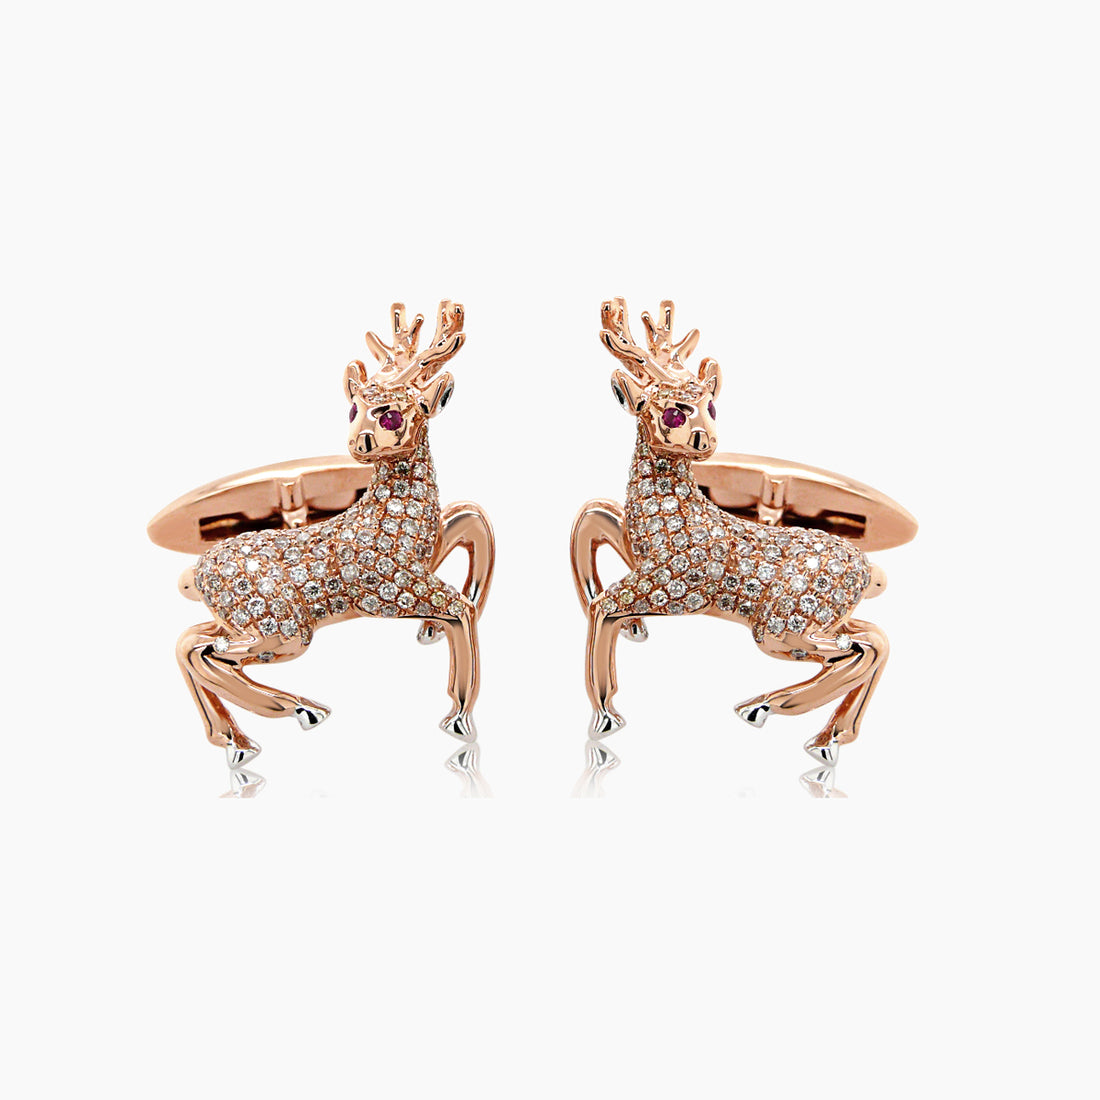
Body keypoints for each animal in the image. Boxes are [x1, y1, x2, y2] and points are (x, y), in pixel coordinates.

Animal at [176, 301, 494, 767]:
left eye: (393, 415)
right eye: (352, 410)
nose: (359, 444)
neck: (392, 519)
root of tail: (196, 573)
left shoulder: (425, 558)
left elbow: (474, 521)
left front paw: (431, 633)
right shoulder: (388, 593)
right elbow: (461, 612)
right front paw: (459, 719)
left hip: (239, 618)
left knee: (187, 644)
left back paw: (236, 741)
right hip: (283, 627)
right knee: (209, 655)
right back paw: (298, 710)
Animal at [571, 299, 890, 765]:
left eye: (712, 407)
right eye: (672, 412)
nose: (706, 441)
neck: (672, 516)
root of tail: (868, 571)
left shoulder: (677, 591)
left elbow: (603, 609)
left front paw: (605, 716)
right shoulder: (639, 555)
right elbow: (590, 519)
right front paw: (634, 630)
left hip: (781, 624)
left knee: (856, 653)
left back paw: (767, 707)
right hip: (825, 616)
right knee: (877, 641)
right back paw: (828, 738)